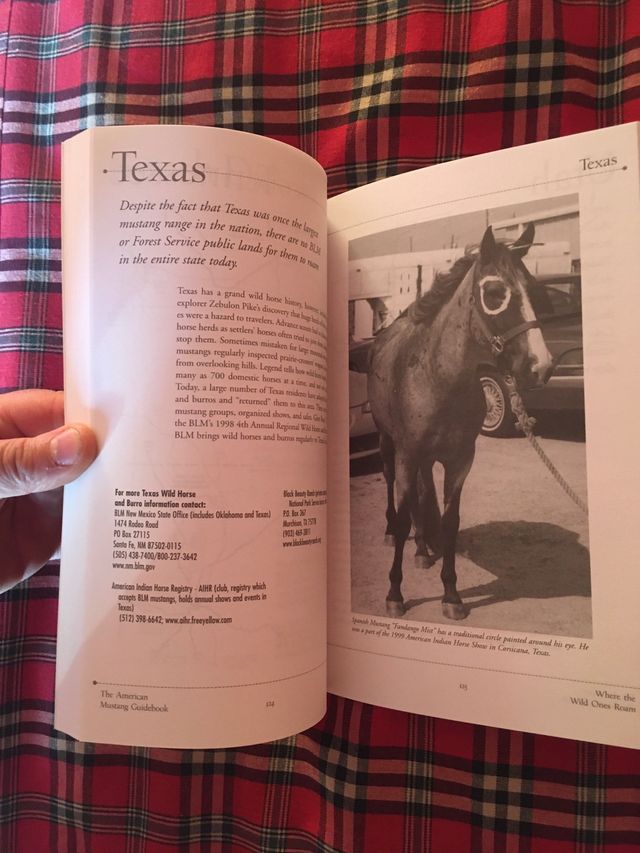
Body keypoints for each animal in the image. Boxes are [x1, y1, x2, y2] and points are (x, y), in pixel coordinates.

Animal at [367, 223, 552, 620]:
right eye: (495, 293)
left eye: (535, 290)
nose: (541, 367)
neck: (438, 379)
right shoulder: (407, 454)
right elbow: (404, 518)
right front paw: (394, 593)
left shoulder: (459, 461)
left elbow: (450, 524)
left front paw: (451, 595)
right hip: (387, 442)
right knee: (391, 484)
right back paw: (394, 534)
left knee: (422, 492)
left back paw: (422, 550)